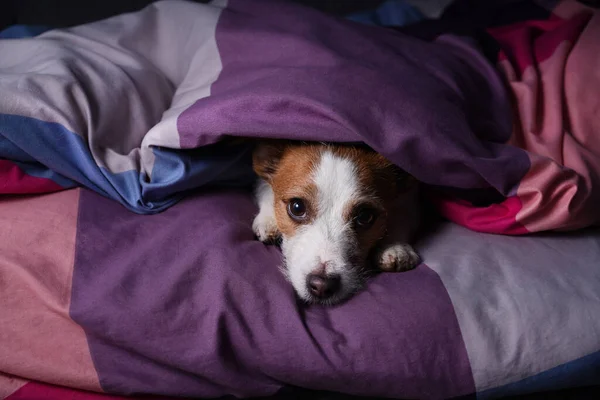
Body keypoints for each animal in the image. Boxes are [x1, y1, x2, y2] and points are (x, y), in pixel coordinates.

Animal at [251, 140, 420, 304]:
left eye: (365, 216)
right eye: (297, 207)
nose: (321, 285)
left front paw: (395, 246)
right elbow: (265, 187)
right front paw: (269, 220)